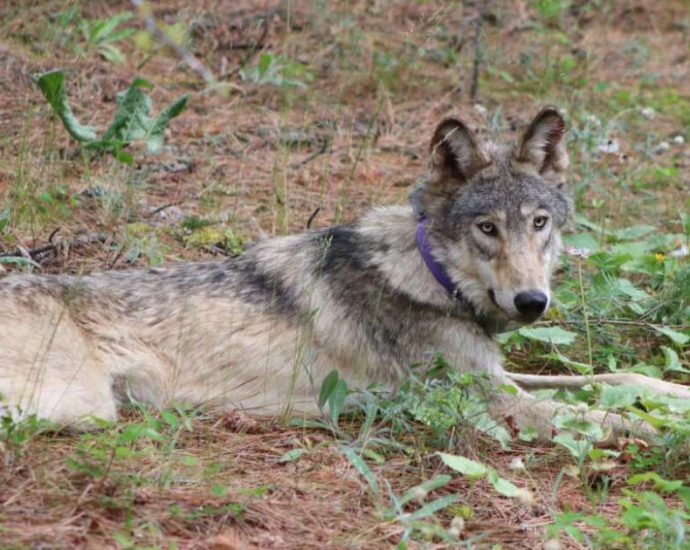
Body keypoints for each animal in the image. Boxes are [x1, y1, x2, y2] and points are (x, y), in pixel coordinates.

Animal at [1, 107, 688, 444]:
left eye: (539, 223)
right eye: (487, 228)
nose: (531, 302)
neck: (430, 277)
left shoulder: (496, 376)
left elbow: (615, 378)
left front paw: (670, 394)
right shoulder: (490, 402)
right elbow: (609, 420)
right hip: (82, 407)